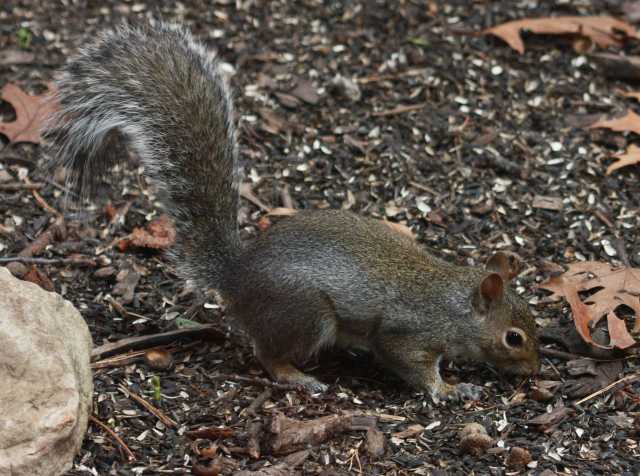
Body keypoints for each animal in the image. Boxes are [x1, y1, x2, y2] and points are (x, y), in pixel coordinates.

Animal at [45, 21, 540, 400]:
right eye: (513, 338)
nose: (535, 370)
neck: (453, 301)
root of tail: (236, 277)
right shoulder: (408, 333)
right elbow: (411, 364)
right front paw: (448, 389)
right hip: (305, 315)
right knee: (268, 354)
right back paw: (299, 377)